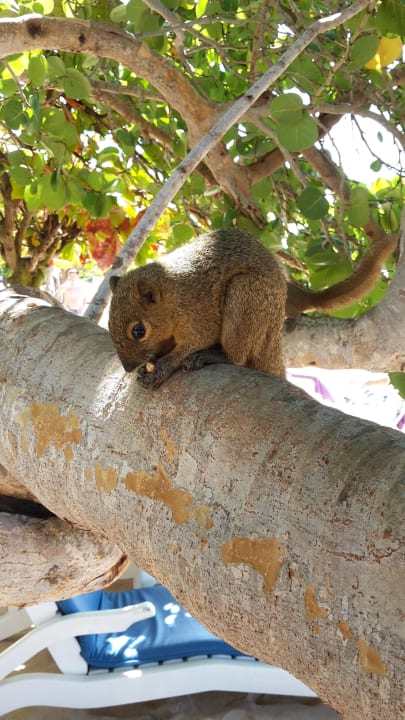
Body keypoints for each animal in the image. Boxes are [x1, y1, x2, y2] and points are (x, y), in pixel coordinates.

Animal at [109, 228, 286, 389]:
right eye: (109, 325)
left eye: (138, 331)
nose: (128, 368)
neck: (173, 294)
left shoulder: (198, 314)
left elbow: (191, 346)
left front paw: (161, 369)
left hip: (246, 295)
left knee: (237, 357)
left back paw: (211, 355)